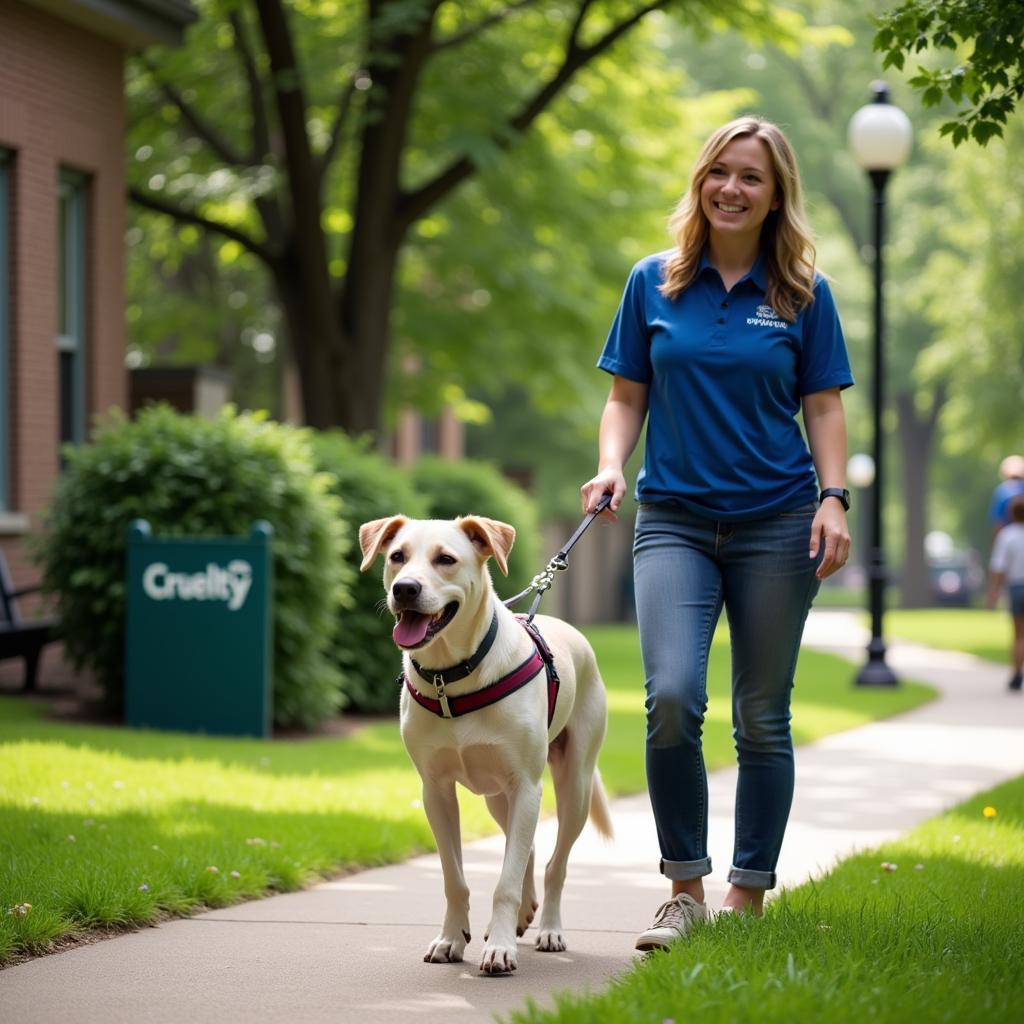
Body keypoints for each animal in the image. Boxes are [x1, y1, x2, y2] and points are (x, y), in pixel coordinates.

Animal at [360, 516, 610, 970]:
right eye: (397, 556)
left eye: (445, 559)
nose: (405, 588)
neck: (451, 677)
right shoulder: (436, 792)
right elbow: (454, 877)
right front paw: (451, 938)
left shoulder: (527, 785)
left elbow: (506, 880)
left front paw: (500, 947)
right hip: (497, 796)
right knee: (526, 846)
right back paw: (523, 913)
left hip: (574, 785)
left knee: (555, 862)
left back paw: (549, 928)